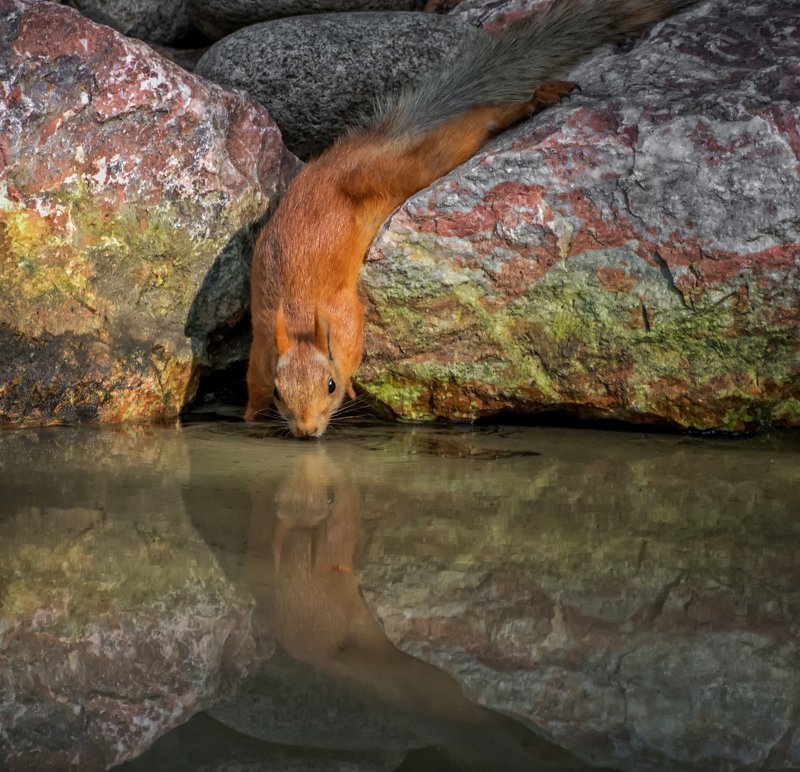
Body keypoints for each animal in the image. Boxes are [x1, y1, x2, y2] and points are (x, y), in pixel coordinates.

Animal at [245, 0, 695, 437]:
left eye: (331, 385)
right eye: (280, 394)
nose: (307, 431)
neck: (297, 314)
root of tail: (361, 149)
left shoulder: (344, 312)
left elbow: (353, 339)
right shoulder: (263, 342)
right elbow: (254, 377)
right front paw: (251, 414)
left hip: (408, 169)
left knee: (470, 127)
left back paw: (532, 101)